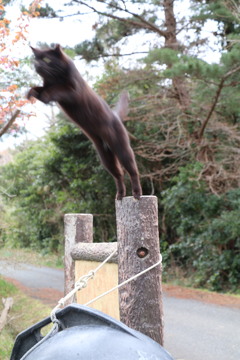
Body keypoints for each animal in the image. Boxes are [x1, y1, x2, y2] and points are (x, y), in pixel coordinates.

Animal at [28, 44, 142, 200]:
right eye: (36, 60)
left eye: (46, 59)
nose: (37, 65)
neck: (55, 78)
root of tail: (116, 116)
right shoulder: (47, 84)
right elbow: (39, 88)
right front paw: (30, 93)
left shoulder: (73, 91)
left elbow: (57, 90)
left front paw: (44, 94)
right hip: (105, 156)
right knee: (118, 174)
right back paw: (119, 195)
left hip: (121, 147)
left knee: (132, 170)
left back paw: (136, 193)